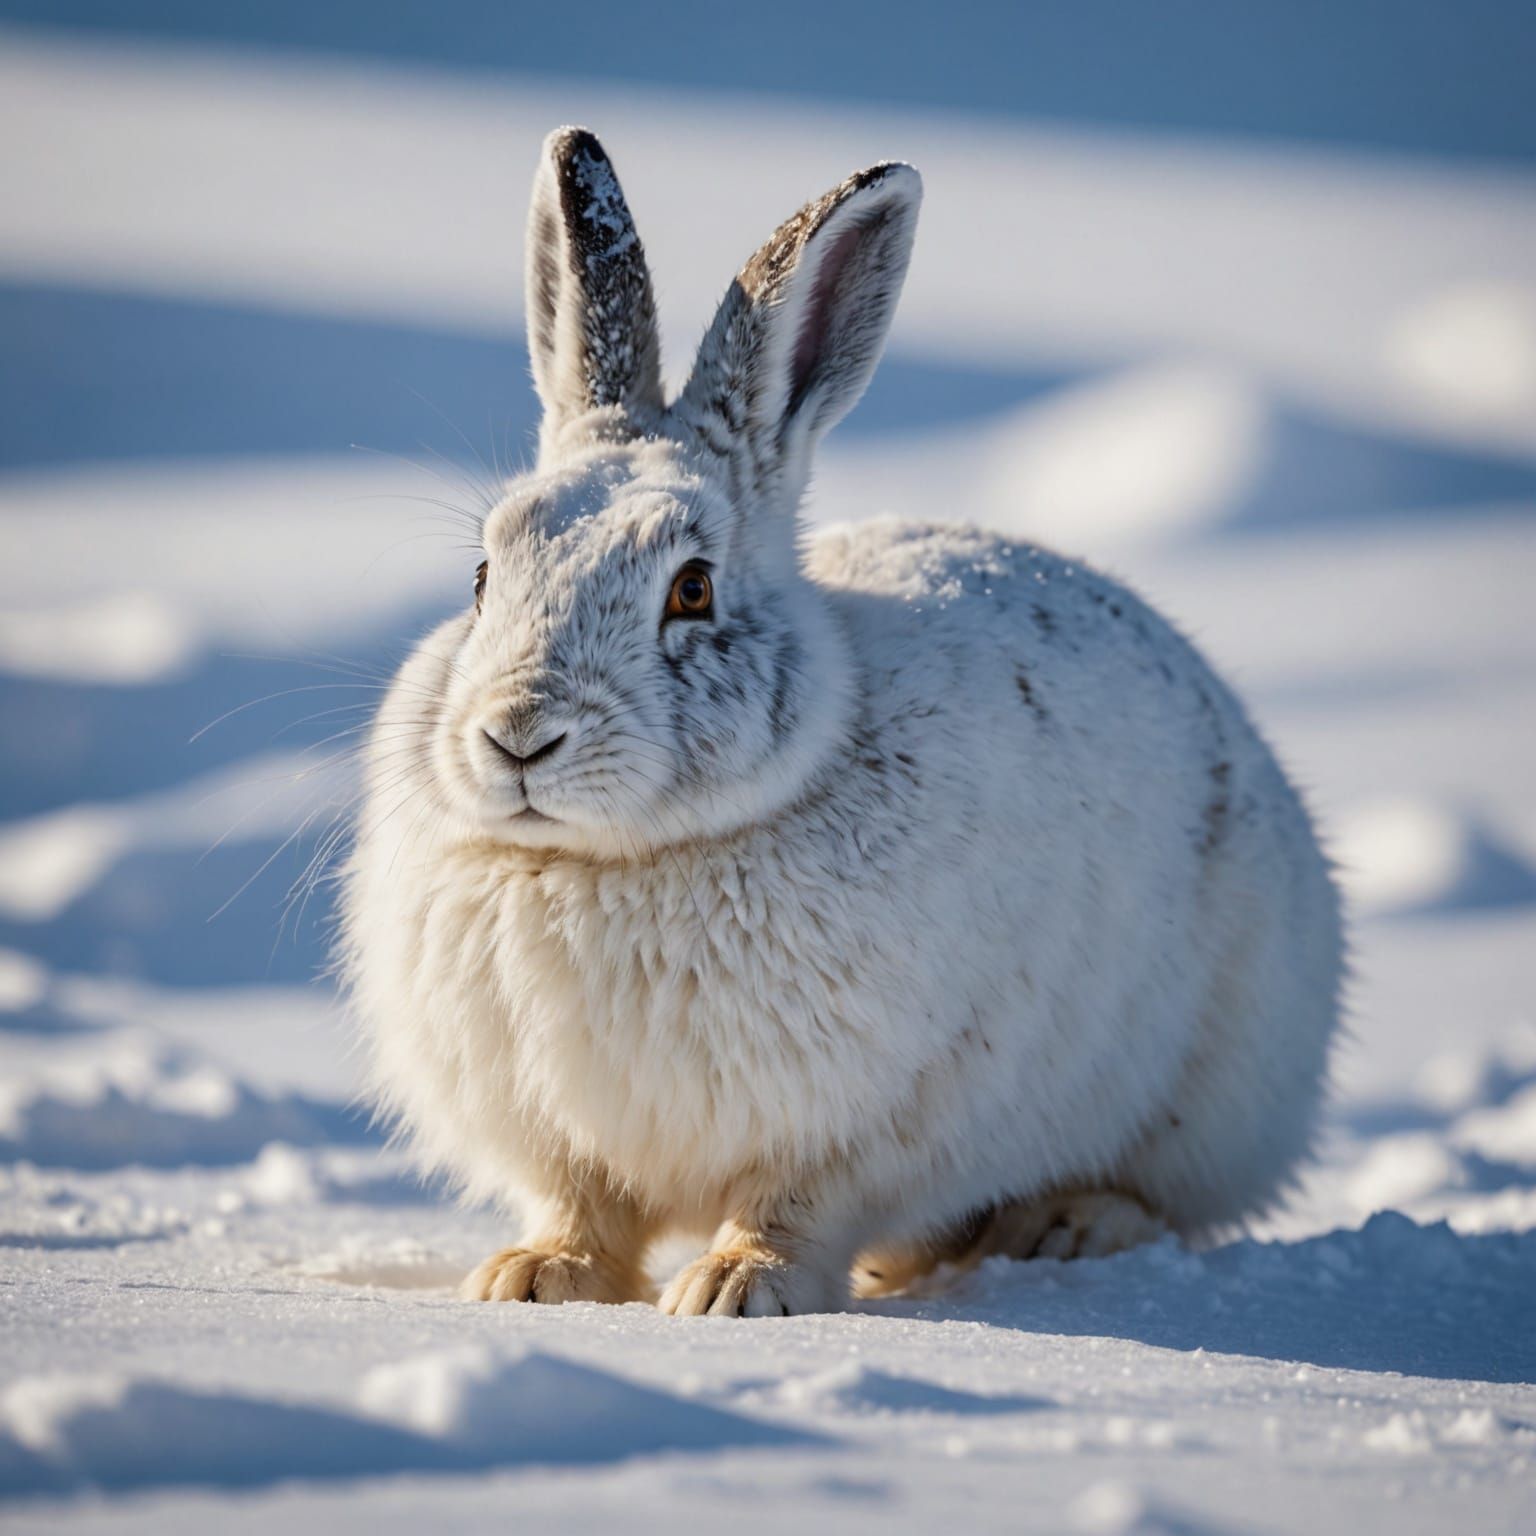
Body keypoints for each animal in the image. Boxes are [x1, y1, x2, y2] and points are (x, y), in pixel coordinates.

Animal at [340, 126, 1344, 1317]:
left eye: (692, 590)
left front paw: (736, 1291)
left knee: (1160, 1193)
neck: (609, 862)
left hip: (1219, 1086)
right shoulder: (561, 1134)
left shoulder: (866, 1117)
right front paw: (535, 1280)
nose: (520, 736)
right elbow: (582, 1205)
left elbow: (792, 1205)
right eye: (484, 576)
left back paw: (1061, 1228)